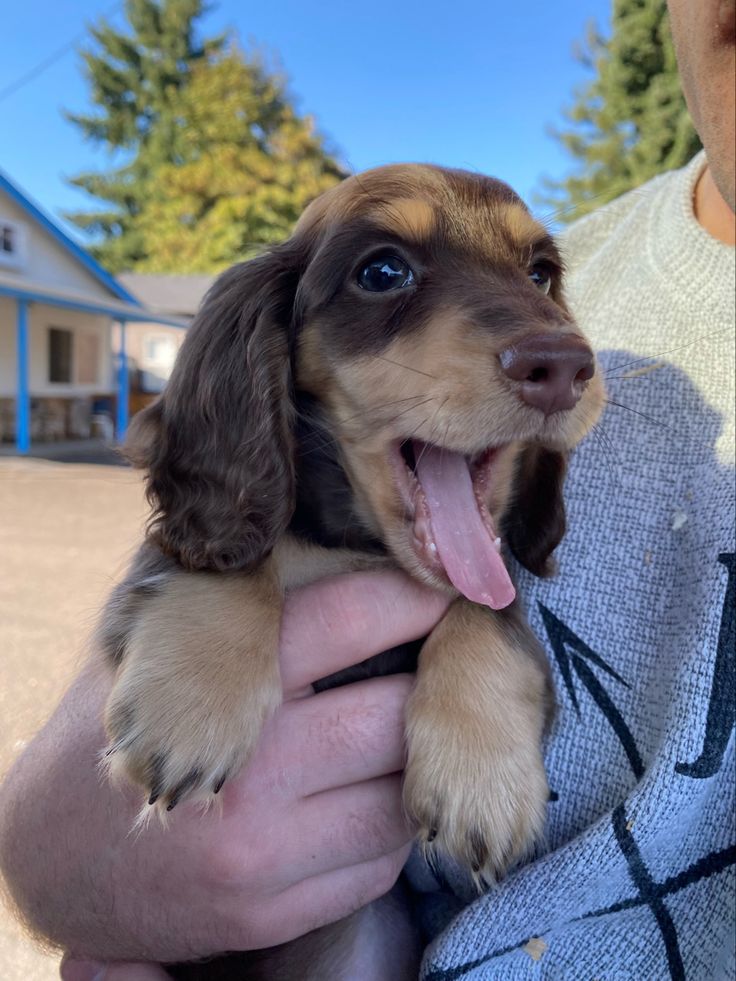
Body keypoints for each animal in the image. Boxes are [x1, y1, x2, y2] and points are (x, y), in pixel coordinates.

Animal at [98, 165, 604, 968]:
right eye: (382, 271)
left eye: (540, 274)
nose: (562, 366)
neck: (356, 545)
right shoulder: (180, 547)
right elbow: (234, 560)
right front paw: (192, 706)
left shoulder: (492, 576)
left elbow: (487, 612)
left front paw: (480, 778)